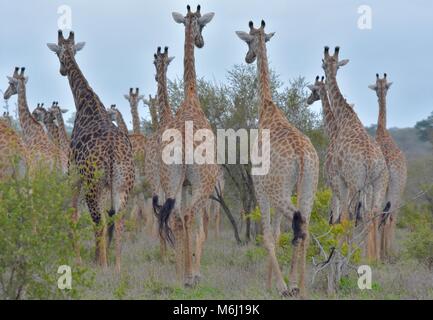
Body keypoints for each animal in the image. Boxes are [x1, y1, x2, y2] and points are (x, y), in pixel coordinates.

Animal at [47, 30, 135, 272]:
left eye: (57, 54)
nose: (61, 70)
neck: (86, 104)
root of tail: (113, 153)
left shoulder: (74, 175)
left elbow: (74, 215)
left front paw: (81, 260)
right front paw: (95, 258)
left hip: (93, 184)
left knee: (100, 221)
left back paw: (104, 266)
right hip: (122, 185)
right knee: (118, 221)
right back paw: (117, 267)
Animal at [235, 19, 318, 298]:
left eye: (248, 41)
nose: (248, 57)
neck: (267, 108)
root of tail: (302, 155)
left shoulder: (260, 186)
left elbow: (268, 235)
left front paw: (275, 286)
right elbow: (278, 231)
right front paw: (273, 284)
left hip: (280, 190)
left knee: (300, 223)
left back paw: (292, 286)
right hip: (308, 186)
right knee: (305, 224)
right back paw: (300, 285)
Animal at [320, 47, 388, 262]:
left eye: (323, 64)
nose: (326, 71)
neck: (345, 117)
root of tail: (370, 161)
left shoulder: (338, 178)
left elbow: (340, 216)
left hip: (354, 183)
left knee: (349, 215)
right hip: (377, 182)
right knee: (372, 213)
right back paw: (371, 259)